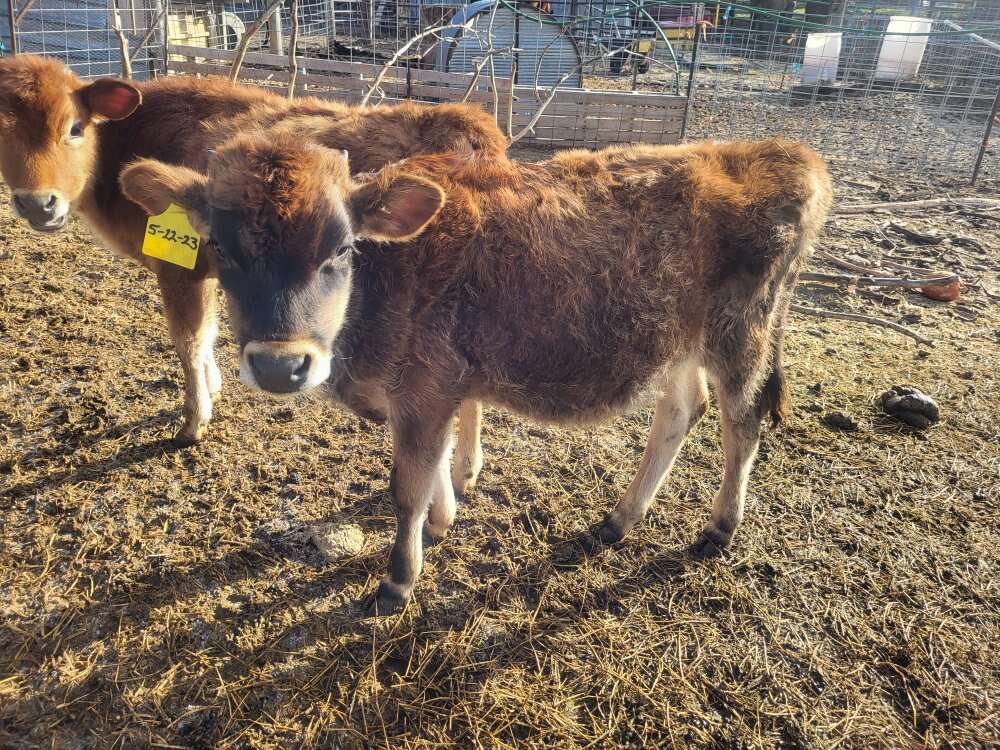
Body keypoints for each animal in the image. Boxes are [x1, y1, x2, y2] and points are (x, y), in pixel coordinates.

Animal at [0, 54, 506, 460]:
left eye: (74, 128)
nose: (38, 204)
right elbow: (207, 336)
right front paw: (215, 386)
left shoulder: (178, 273)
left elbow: (189, 341)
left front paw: (194, 420)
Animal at [120, 134, 833, 614]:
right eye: (220, 246)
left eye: (342, 247)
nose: (280, 363)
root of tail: (785, 151)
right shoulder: (429, 394)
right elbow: (434, 469)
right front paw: (444, 521)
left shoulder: (425, 390)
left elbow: (406, 485)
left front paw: (398, 579)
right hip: (679, 343)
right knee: (682, 411)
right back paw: (618, 519)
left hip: (742, 337)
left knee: (742, 423)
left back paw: (718, 529)